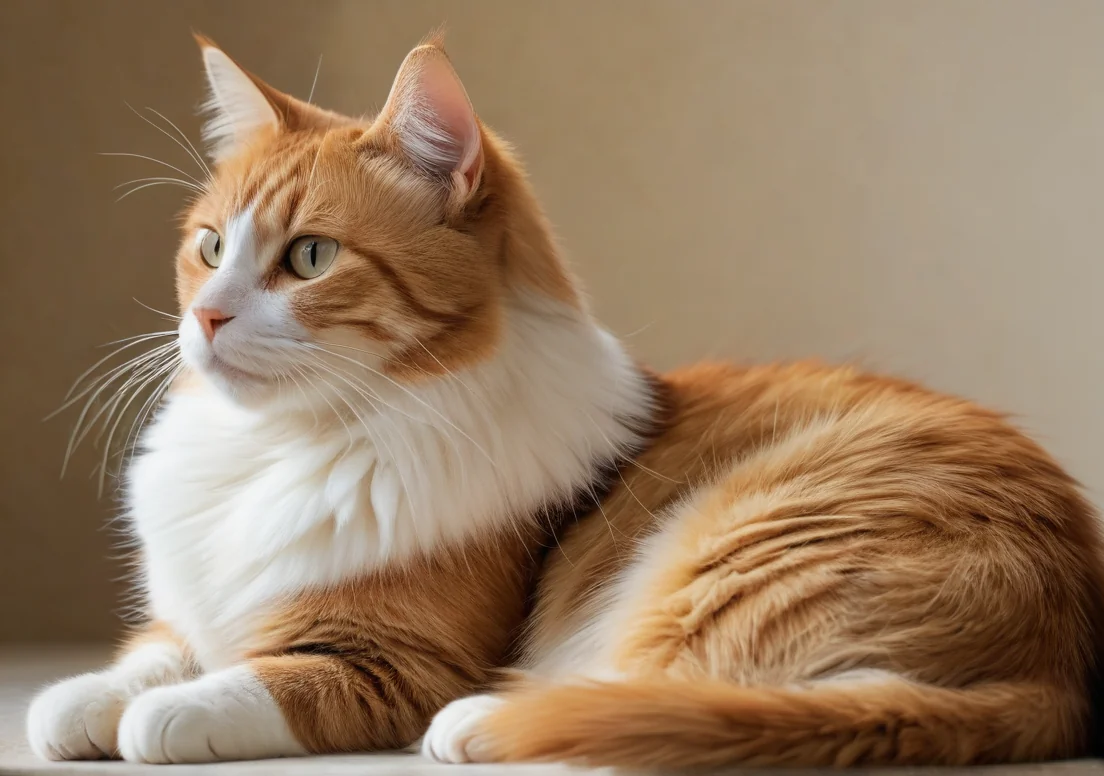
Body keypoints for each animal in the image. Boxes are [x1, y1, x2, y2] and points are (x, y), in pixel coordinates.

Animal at [23, 33, 1104, 768]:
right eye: (210, 247)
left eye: (311, 258)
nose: (205, 317)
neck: (281, 447)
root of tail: (1061, 669)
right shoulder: (190, 609)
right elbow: (145, 656)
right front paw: (82, 699)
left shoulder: (392, 656)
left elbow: (237, 683)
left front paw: (163, 716)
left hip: (729, 553)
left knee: (746, 696)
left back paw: (488, 721)